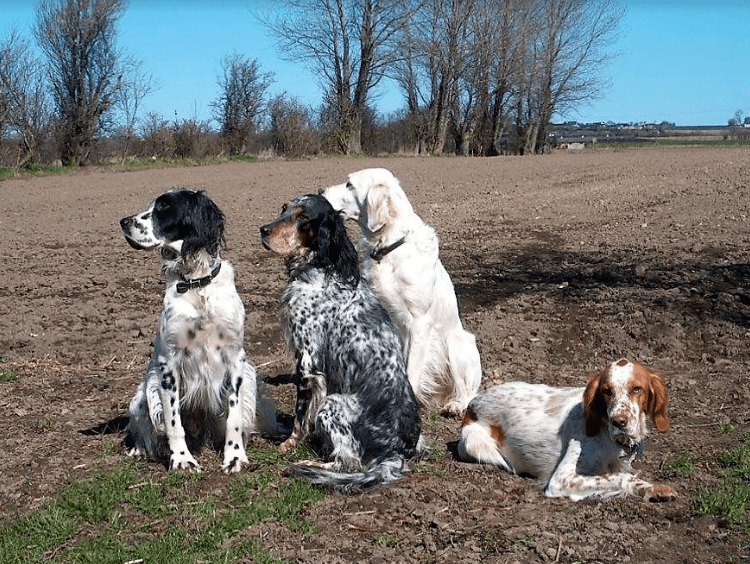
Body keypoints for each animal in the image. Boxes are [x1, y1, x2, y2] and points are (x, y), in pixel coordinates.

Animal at [120, 189, 275, 473]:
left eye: (163, 207)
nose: (123, 222)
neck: (197, 285)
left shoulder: (235, 360)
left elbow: (234, 419)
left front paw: (234, 457)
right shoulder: (168, 364)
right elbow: (173, 423)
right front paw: (182, 459)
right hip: (144, 392)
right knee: (144, 428)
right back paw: (140, 449)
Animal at [260, 194, 428, 492]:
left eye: (303, 218)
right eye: (284, 209)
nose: (263, 230)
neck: (321, 269)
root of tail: (395, 452)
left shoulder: (308, 364)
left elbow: (300, 417)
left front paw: (288, 444)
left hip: (333, 403)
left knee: (347, 463)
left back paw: (310, 464)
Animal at [322, 168, 482, 416]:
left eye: (349, 184)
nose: (322, 191)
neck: (388, 247)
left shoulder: (419, 323)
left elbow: (412, 371)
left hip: (457, 343)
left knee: (469, 392)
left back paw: (456, 405)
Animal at [457, 359, 676, 501]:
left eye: (637, 389)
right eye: (606, 391)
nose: (618, 422)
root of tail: (473, 404)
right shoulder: (562, 479)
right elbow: (618, 476)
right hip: (476, 444)